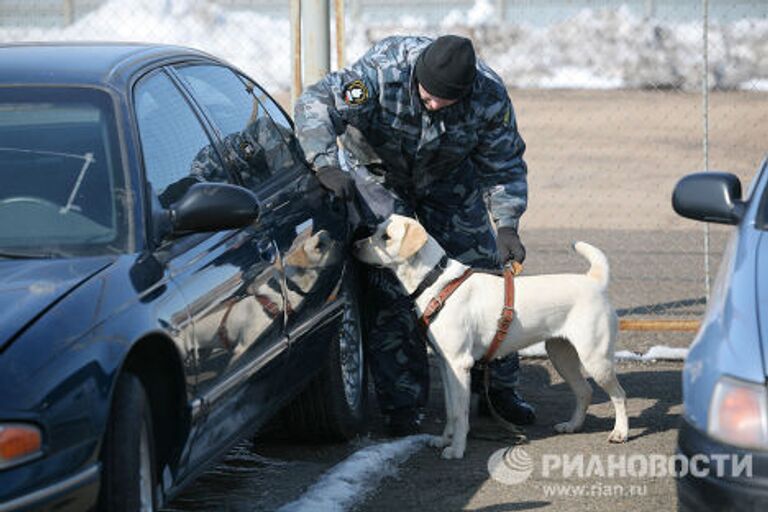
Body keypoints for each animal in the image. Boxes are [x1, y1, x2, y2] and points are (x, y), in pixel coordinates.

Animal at [354, 214, 632, 458]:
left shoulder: (460, 364)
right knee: (584, 390)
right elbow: (451, 410)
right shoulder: (446, 365)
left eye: (386, 236)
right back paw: (572, 425)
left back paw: (620, 433)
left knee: (619, 394)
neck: (435, 281)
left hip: (595, 358)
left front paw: (456, 449)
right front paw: (445, 439)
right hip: (561, 355)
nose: (354, 244)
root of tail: (594, 281)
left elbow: (461, 413)